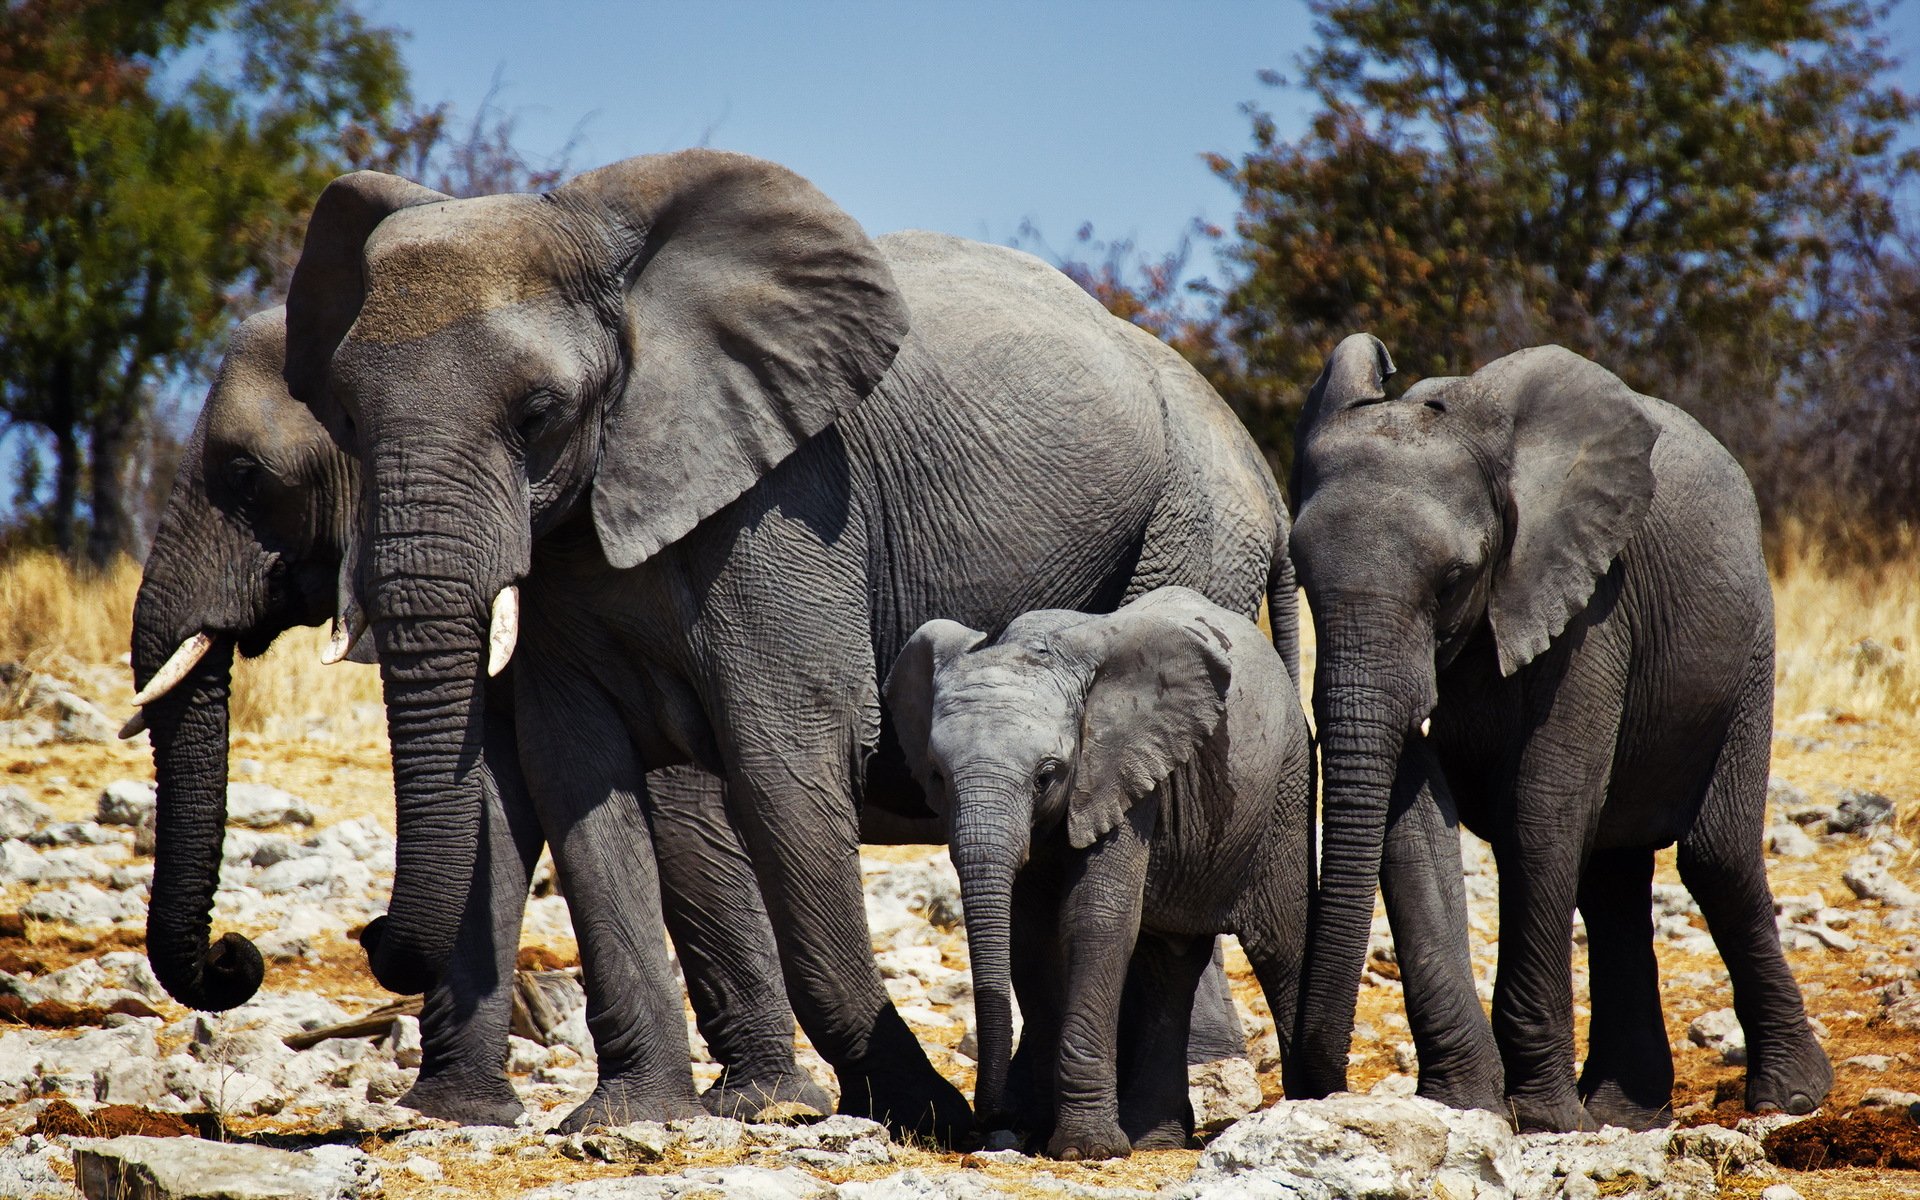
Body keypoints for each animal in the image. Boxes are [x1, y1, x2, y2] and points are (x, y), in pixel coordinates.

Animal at [128, 307, 833, 1125]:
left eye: (247, 475)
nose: (232, 955)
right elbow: (493, 797)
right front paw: (454, 1112)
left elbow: (673, 805)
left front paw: (767, 1105)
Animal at [884, 587, 1313, 1160]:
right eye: (936, 775)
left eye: (1046, 776)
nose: (987, 1117)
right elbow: (1031, 935)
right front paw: (1040, 1131)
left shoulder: (1122, 775)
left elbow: (1095, 920)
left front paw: (1087, 1149)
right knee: (1169, 960)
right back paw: (1155, 1139)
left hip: (1285, 787)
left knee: (1281, 947)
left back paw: (1312, 1106)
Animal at [1285, 334, 1832, 1132]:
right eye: (1298, 572)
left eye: (1454, 578)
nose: (1314, 1087)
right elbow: (1413, 820)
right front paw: (1466, 1108)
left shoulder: (1592, 602)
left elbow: (1543, 806)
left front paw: (1542, 1121)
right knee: (1612, 877)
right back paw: (1625, 1115)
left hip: (1749, 650)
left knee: (1715, 858)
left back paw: (1788, 1099)